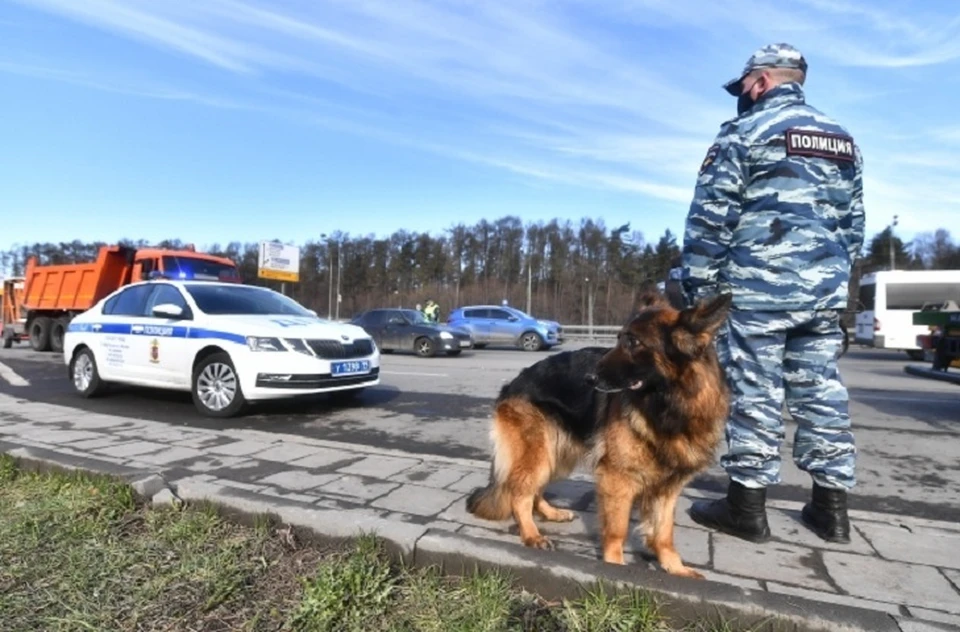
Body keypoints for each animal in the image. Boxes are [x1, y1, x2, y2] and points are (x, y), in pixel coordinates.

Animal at [468, 292, 732, 576]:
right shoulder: (617, 478)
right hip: (540, 454)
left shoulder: (668, 487)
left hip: (557, 455)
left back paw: (551, 513)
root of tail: (512, 384)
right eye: (619, 339)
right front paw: (615, 567)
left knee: (534, 489)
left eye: (633, 342)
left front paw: (675, 568)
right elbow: (617, 529)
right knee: (520, 493)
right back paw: (531, 534)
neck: (667, 405)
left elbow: (664, 533)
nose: (589, 378)